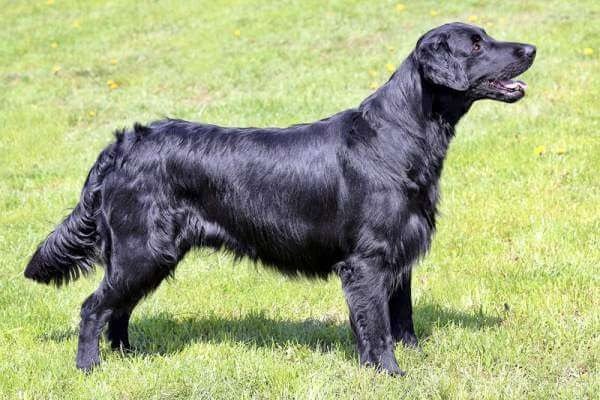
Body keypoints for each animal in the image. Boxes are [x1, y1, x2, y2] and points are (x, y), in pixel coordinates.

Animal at [25, 23, 536, 374]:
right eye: (475, 44)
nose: (531, 49)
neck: (398, 136)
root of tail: (123, 144)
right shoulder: (367, 261)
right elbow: (376, 326)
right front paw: (389, 373)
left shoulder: (399, 256)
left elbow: (402, 317)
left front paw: (412, 360)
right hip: (142, 250)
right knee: (94, 307)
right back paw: (90, 367)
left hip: (148, 255)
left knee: (119, 309)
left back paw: (131, 357)